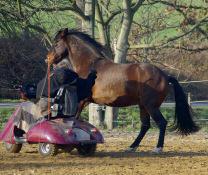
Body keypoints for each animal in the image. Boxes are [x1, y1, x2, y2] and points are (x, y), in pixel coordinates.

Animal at [46, 28, 199, 152]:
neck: (89, 66)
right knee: (145, 125)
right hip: (143, 106)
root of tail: (165, 76)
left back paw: (157, 148)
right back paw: (132, 147)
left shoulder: (81, 101)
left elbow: (74, 120)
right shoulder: (85, 101)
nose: (48, 59)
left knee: (161, 123)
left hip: (151, 106)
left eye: (56, 43)